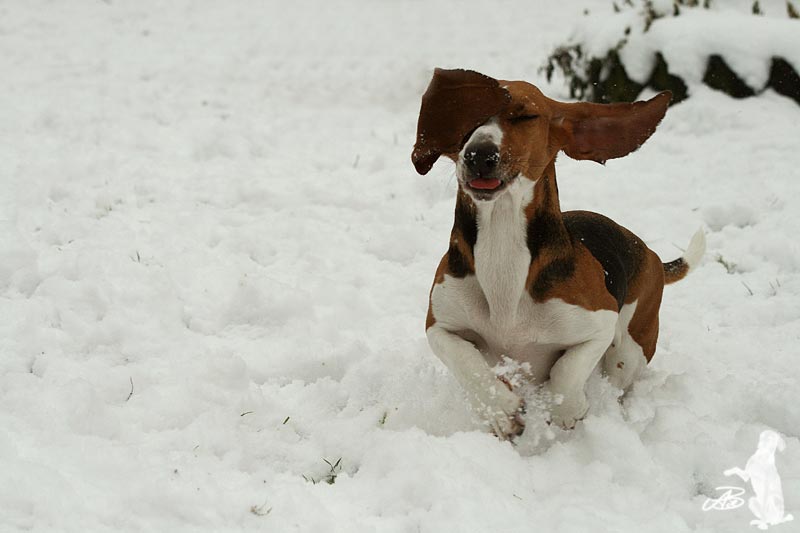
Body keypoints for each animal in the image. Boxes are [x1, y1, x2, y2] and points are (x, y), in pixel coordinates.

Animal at [410, 68, 704, 438]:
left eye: (525, 116)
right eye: (463, 116)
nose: (479, 155)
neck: (502, 240)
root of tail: (649, 252)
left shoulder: (600, 322)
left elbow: (566, 369)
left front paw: (565, 409)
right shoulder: (440, 324)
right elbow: (465, 359)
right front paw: (501, 409)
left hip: (629, 347)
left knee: (619, 376)